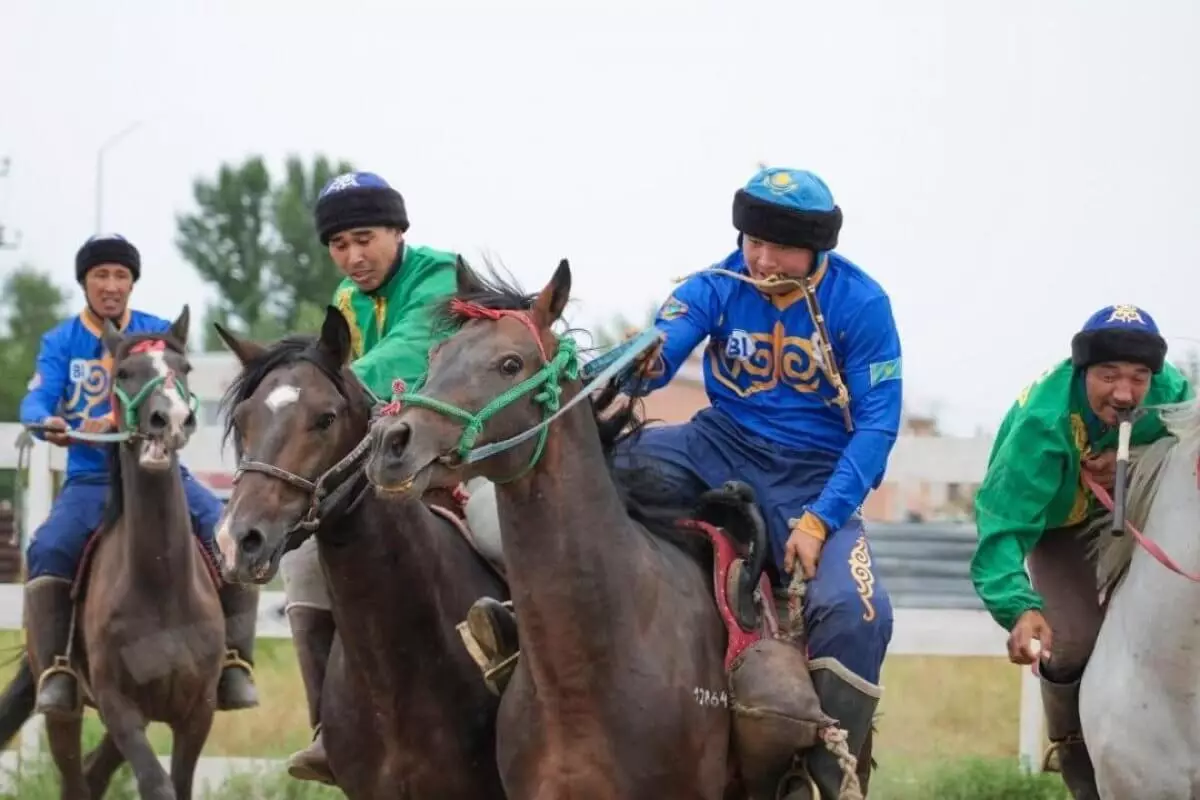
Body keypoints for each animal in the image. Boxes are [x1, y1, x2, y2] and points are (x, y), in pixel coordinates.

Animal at [0, 307, 229, 800]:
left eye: (184, 369)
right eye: (124, 372)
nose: (171, 419)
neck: (161, 584)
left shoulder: (197, 712)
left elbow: (178, 783)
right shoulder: (118, 706)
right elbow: (156, 785)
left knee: (93, 772)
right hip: (65, 713)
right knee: (75, 777)